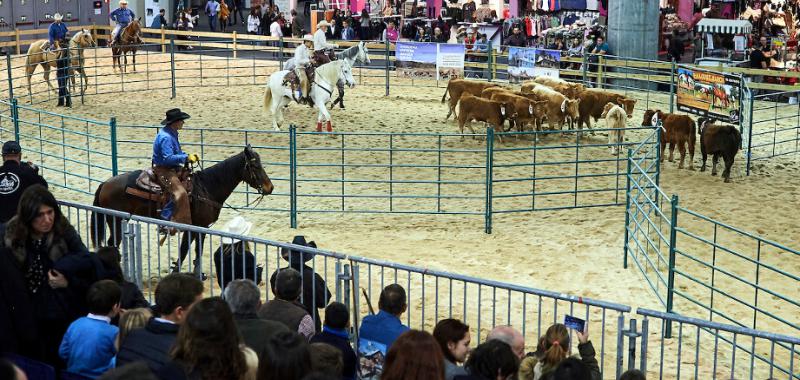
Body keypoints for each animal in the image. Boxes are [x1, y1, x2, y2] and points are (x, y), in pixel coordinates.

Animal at [91, 145, 276, 276]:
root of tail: (105, 184)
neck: (206, 187)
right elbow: (188, 249)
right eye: (255, 166)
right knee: (112, 244)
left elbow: (192, 250)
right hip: (115, 220)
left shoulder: (199, 228)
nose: (270, 187)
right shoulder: (197, 226)